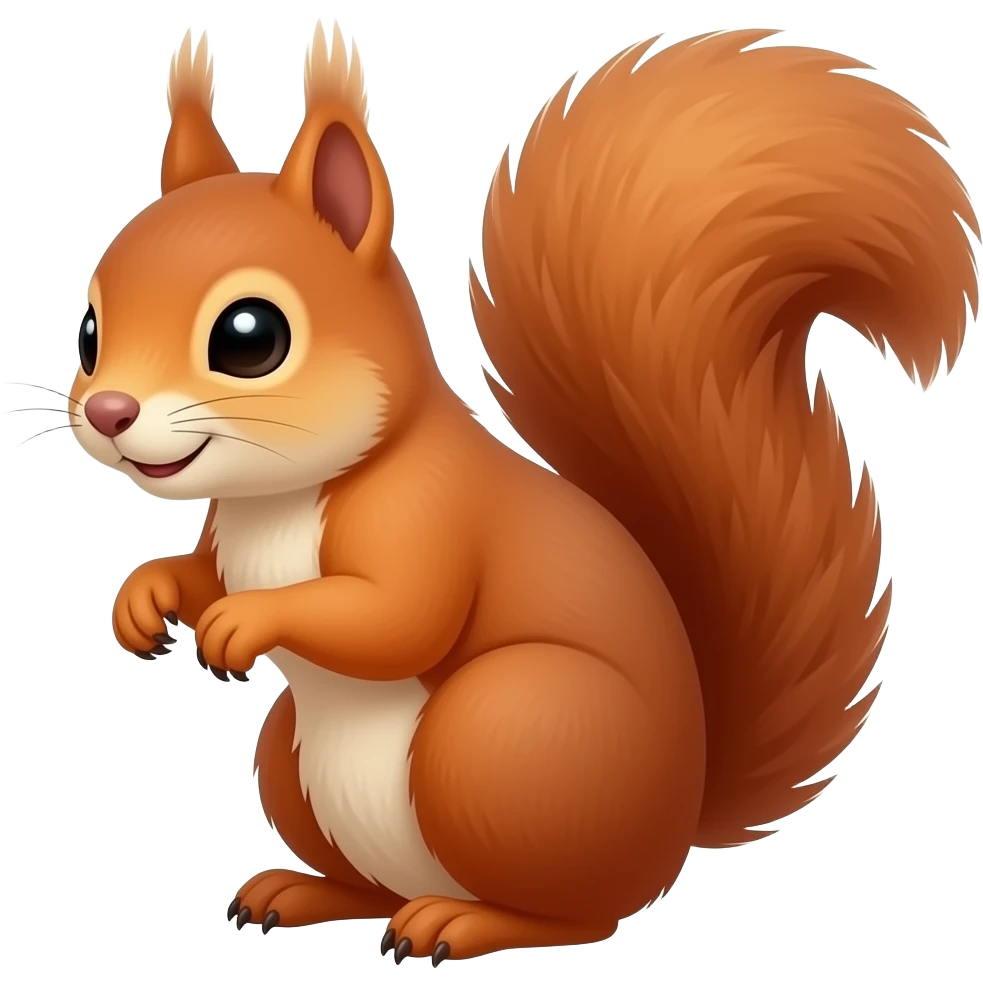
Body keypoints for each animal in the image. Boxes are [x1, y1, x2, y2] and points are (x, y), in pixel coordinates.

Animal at [73, 20, 978, 962]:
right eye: (90, 331)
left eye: (250, 336)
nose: (106, 411)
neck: (279, 497)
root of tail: (671, 830)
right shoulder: (229, 534)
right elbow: (199, 573)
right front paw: (144, 597)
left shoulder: (425, 513)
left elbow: (399, 615)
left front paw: (246, 620)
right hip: (295, 757)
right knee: (372, 885)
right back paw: (302, 891)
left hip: (506, 735)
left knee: (578, 914)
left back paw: (458, 921)